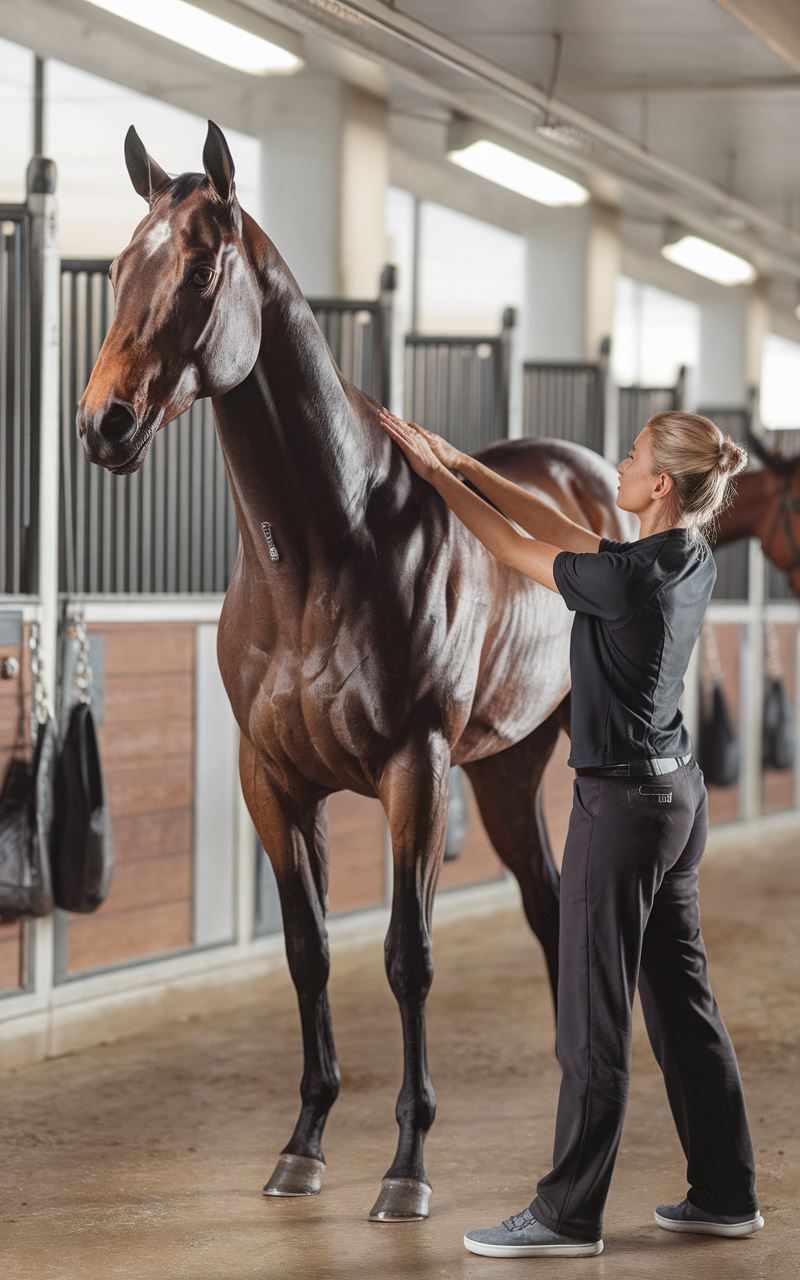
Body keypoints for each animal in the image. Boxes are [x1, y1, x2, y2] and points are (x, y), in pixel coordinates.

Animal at [73, 122, 642, 1228]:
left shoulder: (412, 772)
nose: (102, 423)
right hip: (505, 772)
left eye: (199, 267)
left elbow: (405, 957)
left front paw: (406, 1166)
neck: (320, 553)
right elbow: (309, 953)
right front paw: (300, 1147)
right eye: (118, 268)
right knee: (549, 909)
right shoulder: (272, 782)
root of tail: (592, 479)